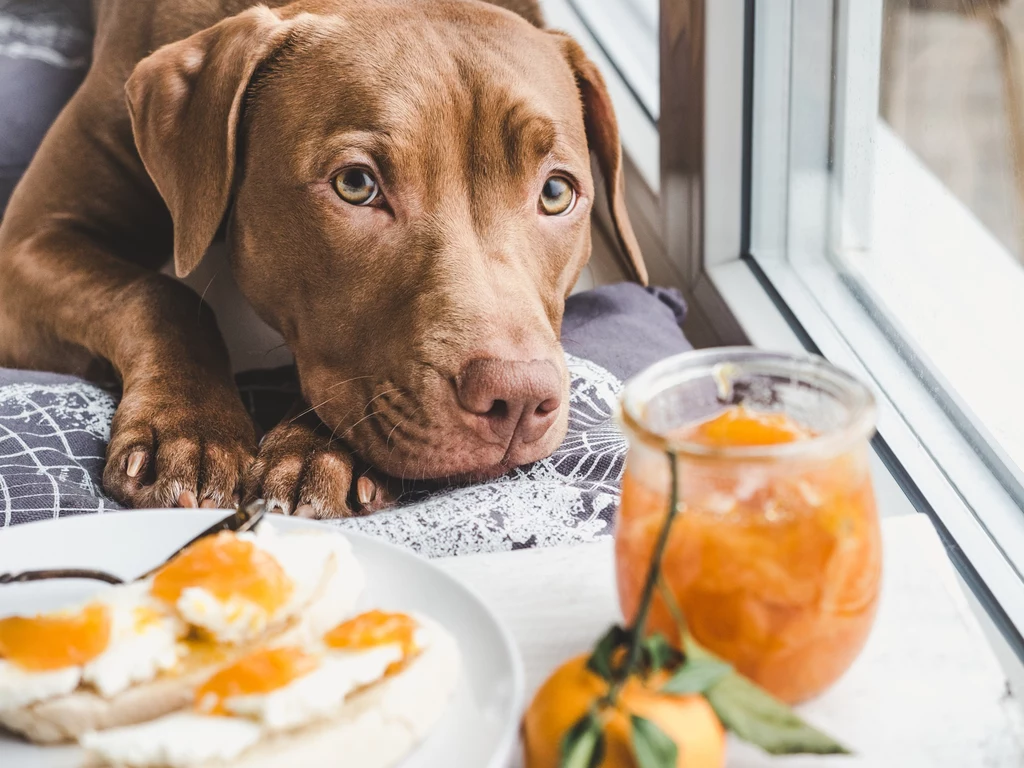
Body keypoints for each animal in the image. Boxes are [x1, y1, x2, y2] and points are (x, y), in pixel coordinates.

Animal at [0, 0, 643, 520]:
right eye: (356, 184)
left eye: (556, 193)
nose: (517, 400)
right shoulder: (28, 245)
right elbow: (161, 293)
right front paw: (189, 432)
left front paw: (318, 452)